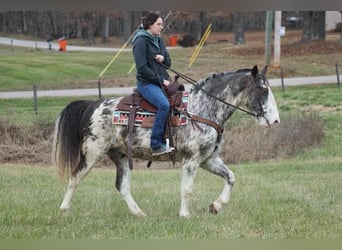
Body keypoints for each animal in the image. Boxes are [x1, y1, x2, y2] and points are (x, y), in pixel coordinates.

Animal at [52, 64, 280, 217]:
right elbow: (187, 188)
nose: (276, 120)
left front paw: (216, 205)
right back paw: (64, 209)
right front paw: (185, 215)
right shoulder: (191, 160)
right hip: (92, 154)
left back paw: (139, 214)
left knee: (122, 186)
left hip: (121, 156)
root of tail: (93, 105)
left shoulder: (208, 160)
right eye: (263, 90)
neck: (201, 108)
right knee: (75, 177)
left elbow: (231, 177)